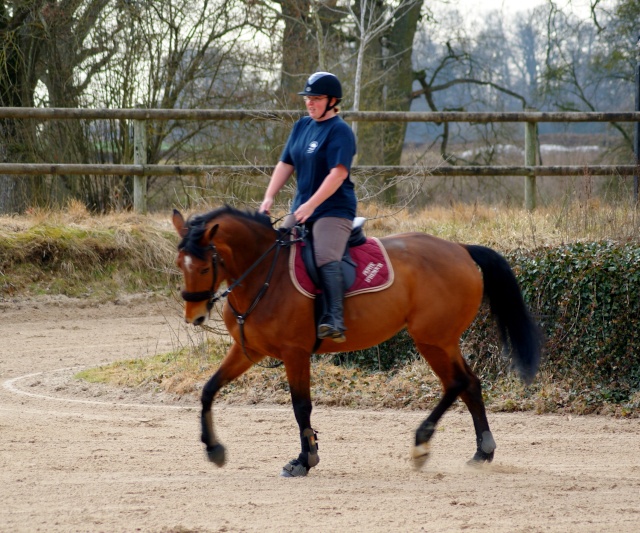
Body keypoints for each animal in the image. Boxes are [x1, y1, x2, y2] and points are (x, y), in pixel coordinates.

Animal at [171, 206, 540, 476]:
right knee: (470, 384)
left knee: (457, 383)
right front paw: (214, 449)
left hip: (432, 339)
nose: (194, 316)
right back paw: (482, 452)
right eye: (180, 265)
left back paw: (421, 443)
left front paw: (305, 460)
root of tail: (460, 249)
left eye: (203, 268)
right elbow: (208, 389)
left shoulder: (295, 353)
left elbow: (301, 406)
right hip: (442, 340)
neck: (264, 274)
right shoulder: (249, 351)